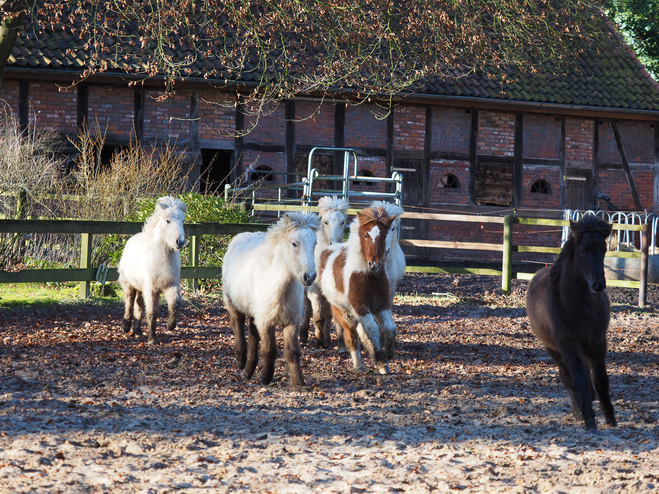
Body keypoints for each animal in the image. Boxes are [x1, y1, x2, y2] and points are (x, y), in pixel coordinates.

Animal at [116, 195, 186, 346]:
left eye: (183, 221)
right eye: (168, 220)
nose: (180, 242)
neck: (161, 260)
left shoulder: (171, 285)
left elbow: (175, 303)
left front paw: (170, 325)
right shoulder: (151, 289)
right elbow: (152, 312)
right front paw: (152, 340)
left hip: (141, 288)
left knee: (138, 306)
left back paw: (137, 331)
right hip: (129, 285)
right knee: (129, 302)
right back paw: (126, 327)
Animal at [223, 212, 320, 390]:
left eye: (315, 243)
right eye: (294, 244)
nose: (309, 277)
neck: (279, 286)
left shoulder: (291, 323)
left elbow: (292, 352)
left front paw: (298, 382)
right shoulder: (266, 322)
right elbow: (270, 350)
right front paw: (266, 377)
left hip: (255, 314)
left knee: (253, 334)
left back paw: (249, 369)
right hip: (234, 305)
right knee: (238, 326)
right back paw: (241, 361)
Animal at [302, 194, 350, 348]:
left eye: (342, 222)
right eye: (325, 222)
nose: (334, 243)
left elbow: (330, 317)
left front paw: (329, 339)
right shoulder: (314, 292)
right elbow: (318, 317)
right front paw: (318, 338)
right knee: (307, 311)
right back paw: (303, 336)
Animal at [320, 206, 398, 372]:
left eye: (384, 236)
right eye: (366, 235)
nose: (374, 264)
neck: (368, 277)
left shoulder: (382, 304)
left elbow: (389, 328)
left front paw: (387, 355)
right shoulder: (360, 307)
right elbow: (373, 330)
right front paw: (381, 361)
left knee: (362, 332)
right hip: (343, 312)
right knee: (352, 335)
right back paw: (358, 364)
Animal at [524, 214, 620, 430]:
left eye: (603, 249)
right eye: (582, 250)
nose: (598, 285)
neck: (579, 305)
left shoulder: (598, 342)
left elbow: (601, 381)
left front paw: (611, 419)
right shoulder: (568, 344)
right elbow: (580, 380)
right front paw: (589, 420)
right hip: (554, 349)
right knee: (566, 377)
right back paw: (578, 411)